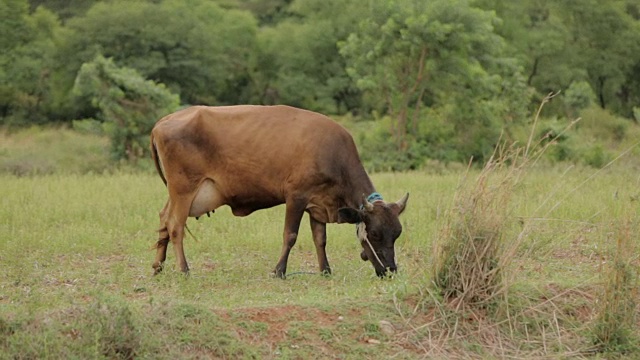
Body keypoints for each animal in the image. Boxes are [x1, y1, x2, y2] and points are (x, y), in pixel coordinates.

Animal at [150, 105, 410, 278]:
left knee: (163, 219)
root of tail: (161, 122)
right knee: (175, 226)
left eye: (397, 233)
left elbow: (320, 239)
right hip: (184, 189)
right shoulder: (296, 196)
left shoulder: (317, 204)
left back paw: (158, 266)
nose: (390, 270)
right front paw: (279, 270)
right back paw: (184, 270)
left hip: (177, 193)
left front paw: (325, 270)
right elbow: (290, 235)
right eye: (375, 234)